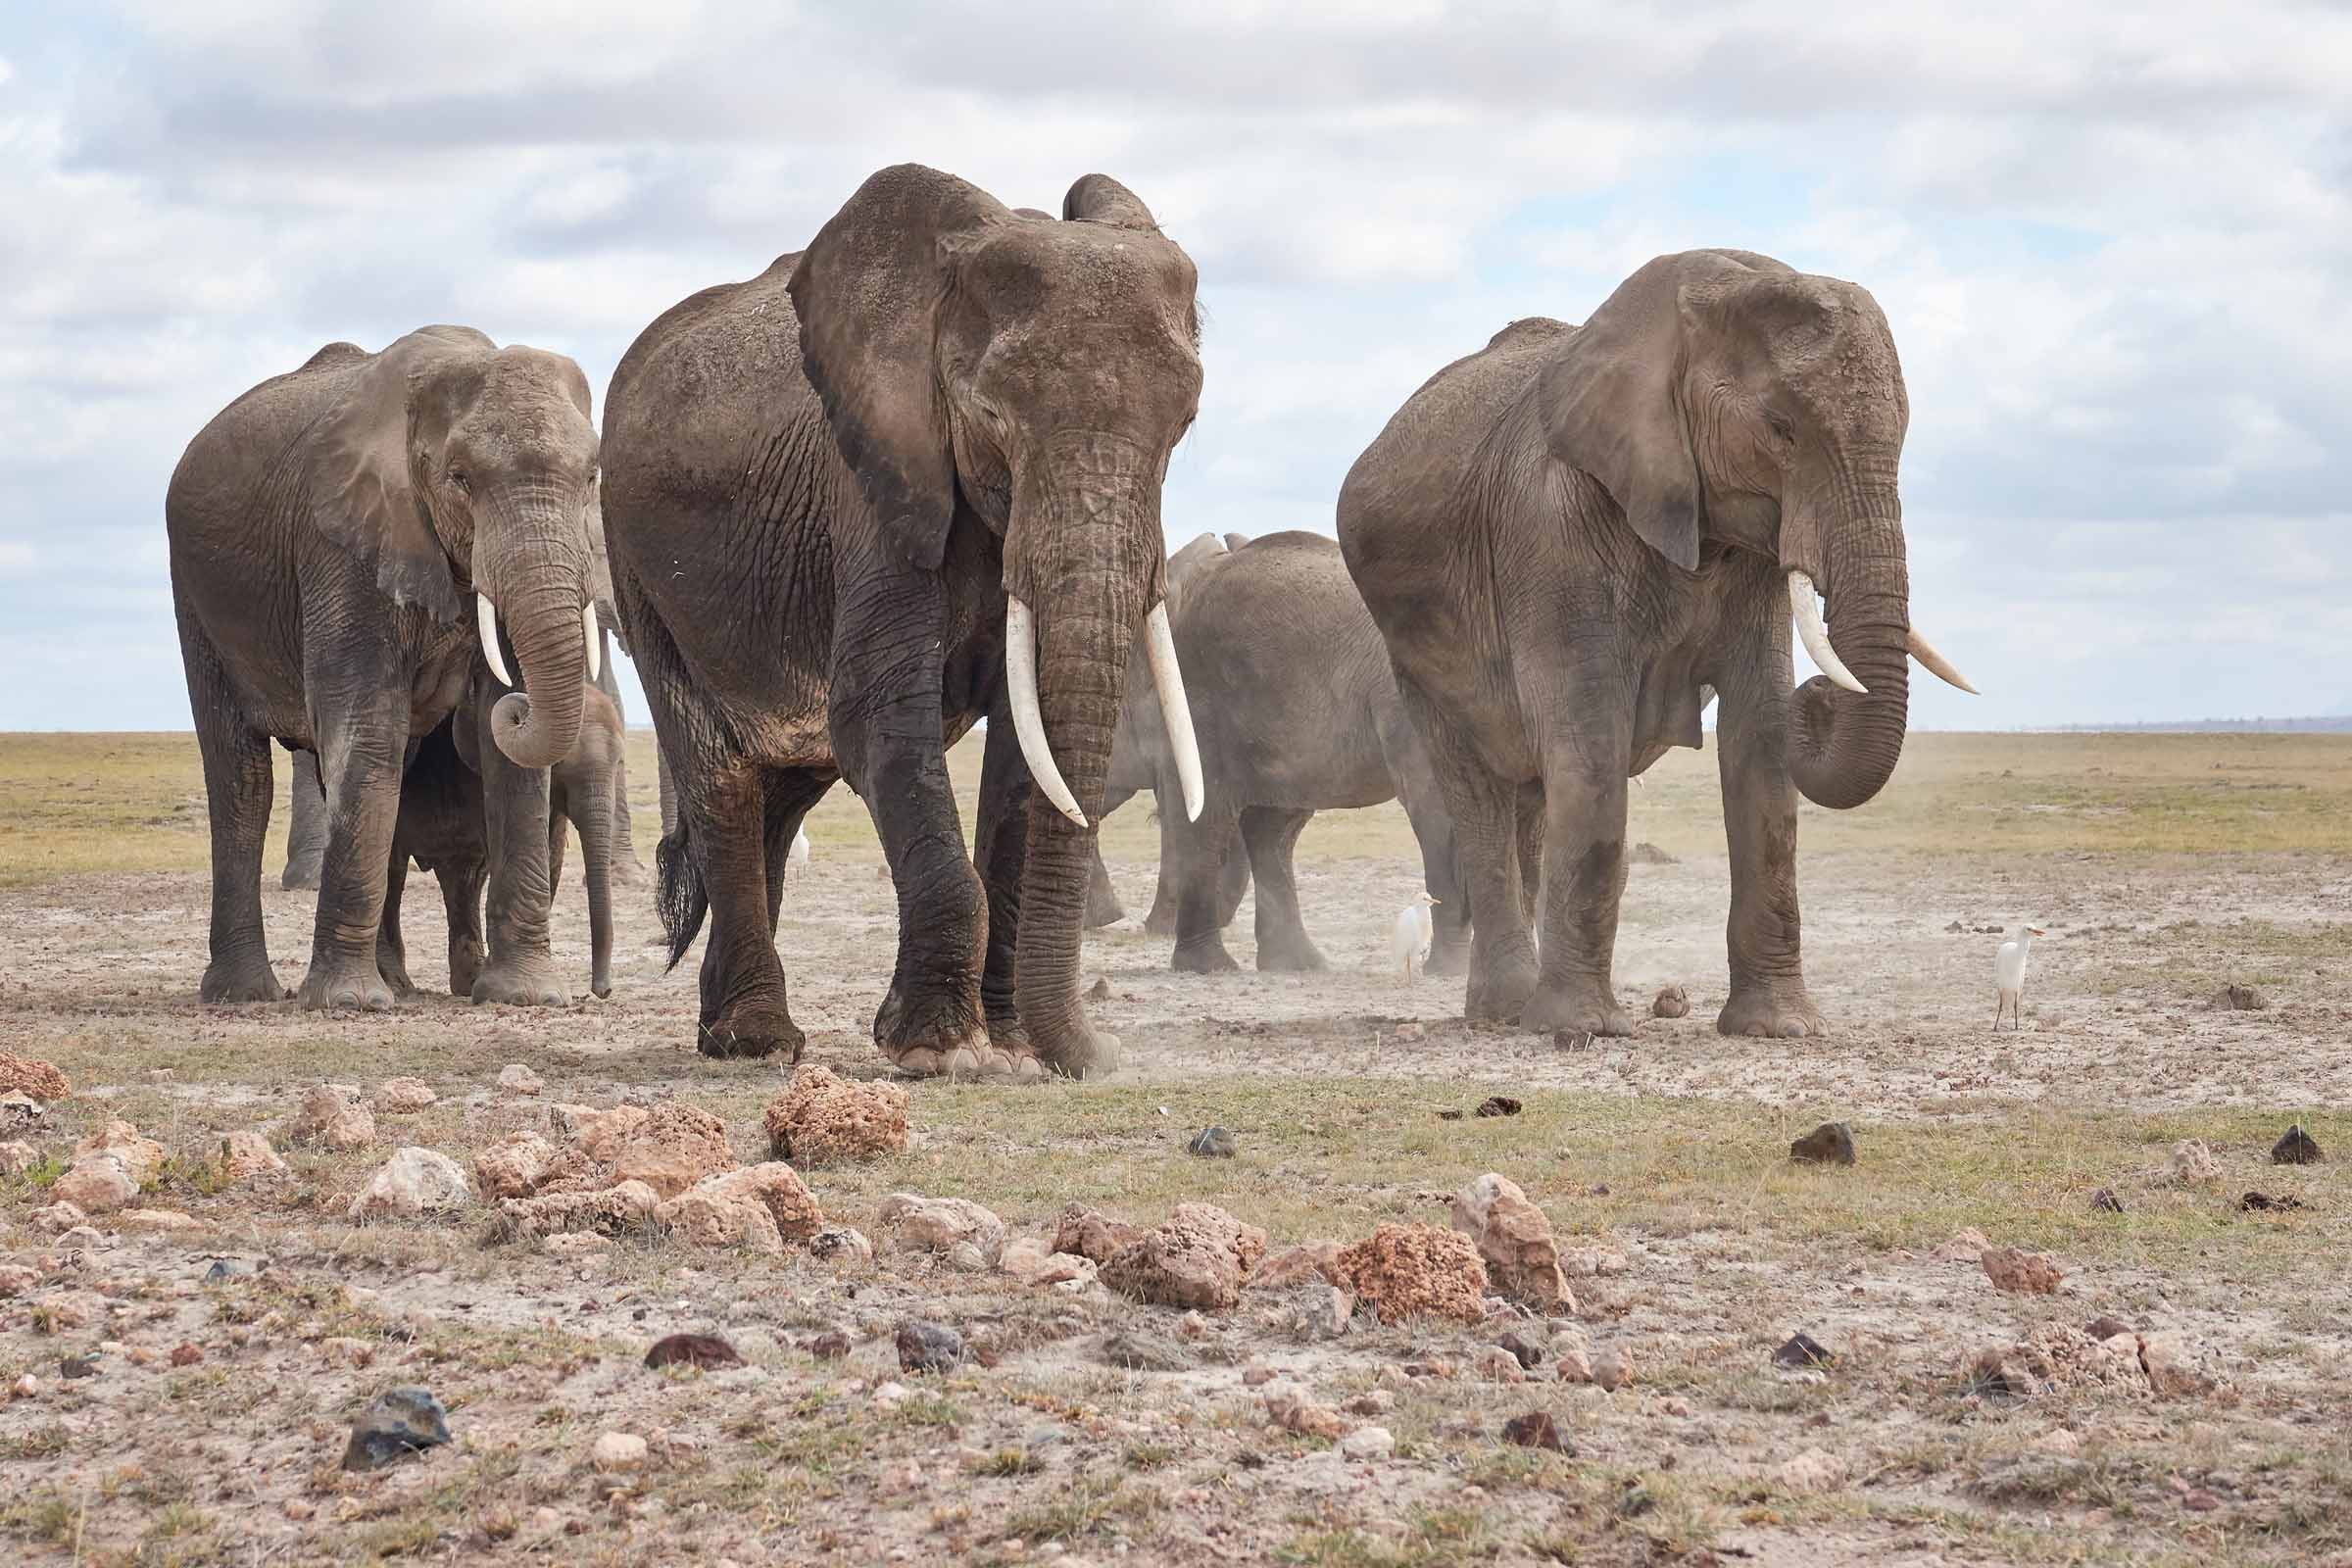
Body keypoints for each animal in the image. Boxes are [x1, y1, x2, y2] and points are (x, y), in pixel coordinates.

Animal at [168, 326, 607, 1010]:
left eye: (591, 476)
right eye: (460, 478)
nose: (518, 706)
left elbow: (507, 760)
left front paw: (524, 997)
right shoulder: (341, 545)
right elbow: (367, 723)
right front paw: (346, 1004)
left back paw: (392, 981)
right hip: (200, 596)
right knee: (241, 776)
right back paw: (247, 994)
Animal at [597, 172, 1203, 1081]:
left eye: (1184, 424)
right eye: (991, 416)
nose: (1101, 1056)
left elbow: (1025, 750)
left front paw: (1011, 1050)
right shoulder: (876, 487)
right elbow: (879, 718)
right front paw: (941, 1053)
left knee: (785, 787)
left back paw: (729, 1031)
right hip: (638, 568)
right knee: (724, 776)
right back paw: (757, 1041)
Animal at [1336, 251, 1976, 1044]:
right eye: (1781, 429)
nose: (1823, 696)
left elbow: (1762, 740)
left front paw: (1778, 1028)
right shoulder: (1554, 530)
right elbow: (1590, 744)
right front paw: (1582, 1029)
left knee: (1529, 796)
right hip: (1414, 653)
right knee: (1478, 787)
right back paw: (1507, 1011)